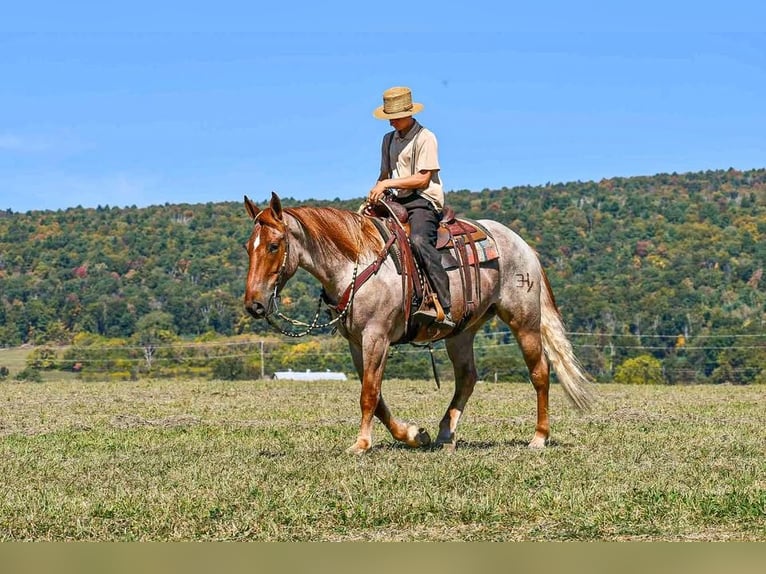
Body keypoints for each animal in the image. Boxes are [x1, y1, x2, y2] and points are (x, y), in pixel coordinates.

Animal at [243, 192, 593, 454]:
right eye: (249, 247)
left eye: (274, 245)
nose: (254, 304)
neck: (356, 261)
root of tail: (524, 246)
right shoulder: (356, 342)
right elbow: (376, 397)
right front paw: (414, 435)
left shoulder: (377, 336)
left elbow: (369, 393)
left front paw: (361, 443)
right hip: (462, 332)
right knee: (467, 377)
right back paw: (445, 434)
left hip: (524, 321)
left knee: (540, 373)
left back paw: (539, 437)